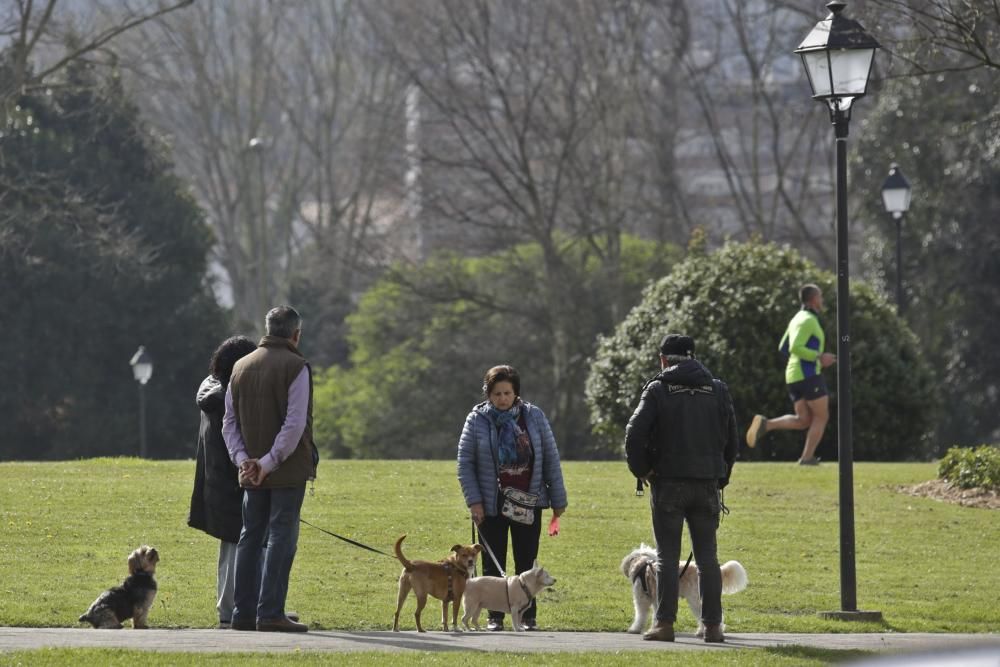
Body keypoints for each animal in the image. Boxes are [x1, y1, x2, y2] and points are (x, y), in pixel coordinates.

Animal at [620, 544, 748, 636]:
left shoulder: (641, 600)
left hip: (695, 599)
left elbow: (640, 615)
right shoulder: (657, 601)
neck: (642, 566)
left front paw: (635, 629)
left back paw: (706, 631)